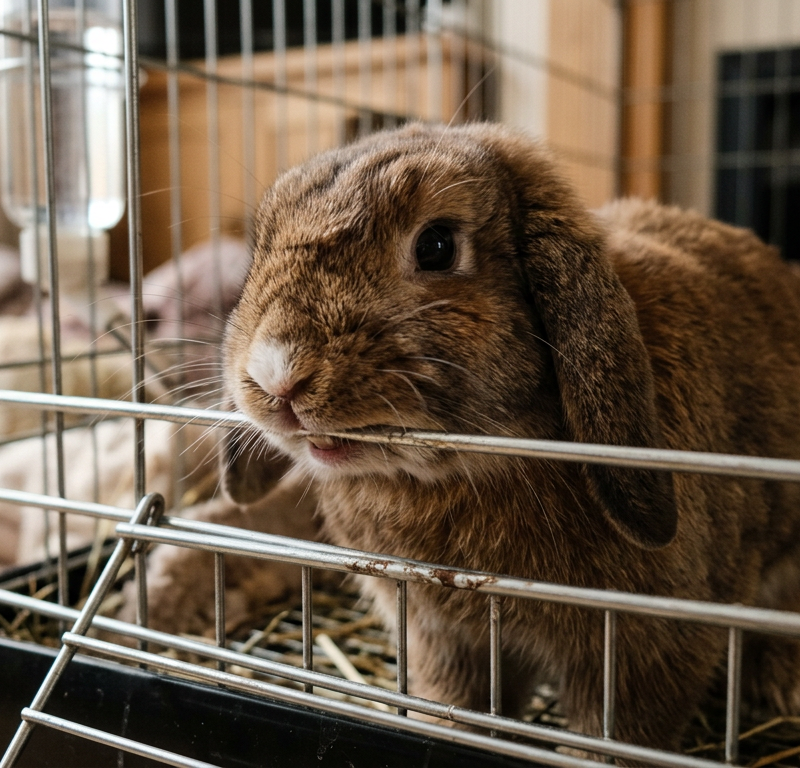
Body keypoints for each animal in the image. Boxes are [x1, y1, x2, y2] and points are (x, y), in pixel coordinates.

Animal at [220, 121, 800, 754]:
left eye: (437, 246)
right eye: (263, 242)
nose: (276, 374)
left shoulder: (643, 653)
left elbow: (614, 736)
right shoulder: (444, 642)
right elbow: (458, 705)